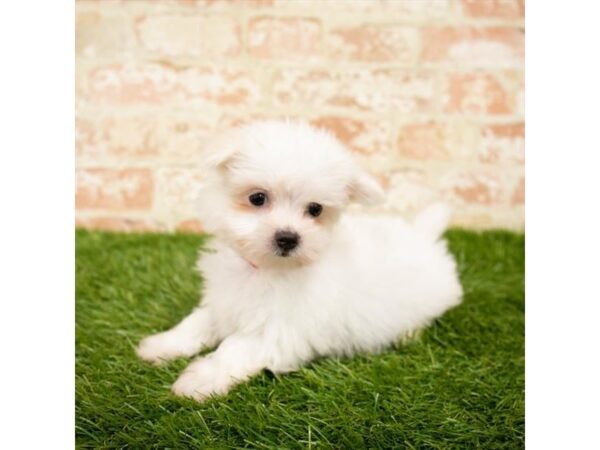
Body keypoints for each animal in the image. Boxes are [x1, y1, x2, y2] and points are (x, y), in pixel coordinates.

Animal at [137, 118, 464, 400]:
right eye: (257, 198)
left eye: (315, 209)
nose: (288, 237)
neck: (266, 270)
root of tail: (423, 235)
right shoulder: (224, 303)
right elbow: (196, 323)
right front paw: (161, 345)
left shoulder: (278, 331)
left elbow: (233, 349)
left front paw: (200, 379)